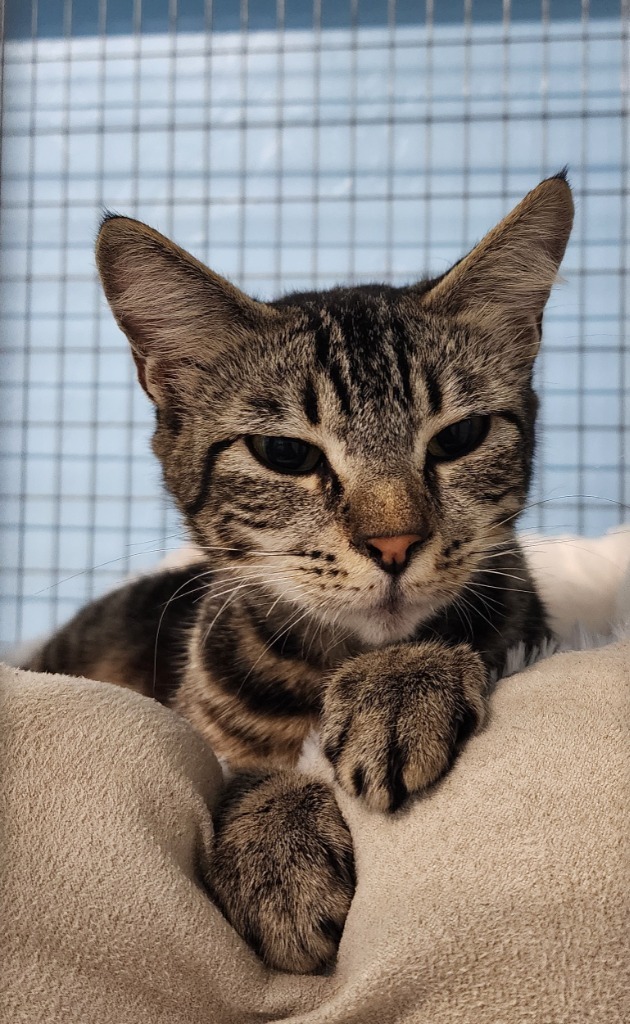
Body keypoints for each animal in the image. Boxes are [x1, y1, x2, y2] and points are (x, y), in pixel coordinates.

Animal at [27, 176, 573, 974]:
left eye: (462, 437)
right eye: (284, 453)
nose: (395, 542)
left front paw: (402, 681)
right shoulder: (205, 726)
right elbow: (241, 773)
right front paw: (277, 844)